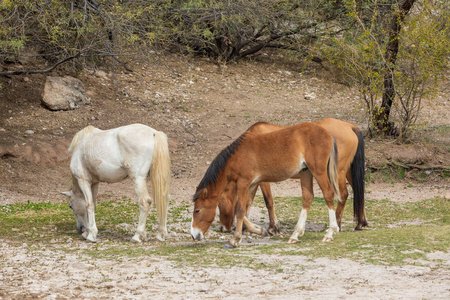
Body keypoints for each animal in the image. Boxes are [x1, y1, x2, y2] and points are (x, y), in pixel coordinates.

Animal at [190, 120, 342, 247]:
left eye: (197, 210)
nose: (194, 235)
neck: (237, 156)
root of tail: (328, 134)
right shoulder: (252, 184)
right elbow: (242, 208)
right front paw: (259, 230)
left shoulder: (244, 182)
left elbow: (240, 210)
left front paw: (235, 239)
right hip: (306, 173)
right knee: (307, 198)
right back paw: (295, 235)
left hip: (318, 172)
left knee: (328, 194)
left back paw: (330, 232)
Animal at [219, 117, 370, 234]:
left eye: (219, 204)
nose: (222, 227)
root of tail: (350, 126)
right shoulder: (253, 180)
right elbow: (248, 201)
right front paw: (245, 227)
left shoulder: (261, 180)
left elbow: (268, 201)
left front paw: (273, 227)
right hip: (348, 173)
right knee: (359, 193)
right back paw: (360, 223)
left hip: (338, 173)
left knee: (343, 195)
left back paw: (336, 224)